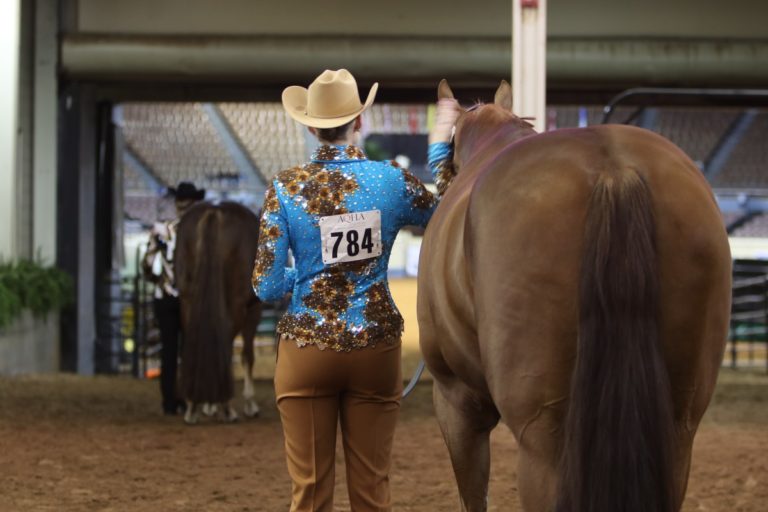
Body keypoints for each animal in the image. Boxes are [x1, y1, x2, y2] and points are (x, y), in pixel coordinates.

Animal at [175, 201, 263, 424]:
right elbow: (247, 355)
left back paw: (192, 405)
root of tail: (214, 212)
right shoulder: (253, 309)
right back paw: (227, 407)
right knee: (226, 343)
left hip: (188, 299)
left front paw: (209, 405)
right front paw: (250, 404)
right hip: (237, 305)